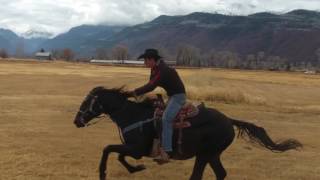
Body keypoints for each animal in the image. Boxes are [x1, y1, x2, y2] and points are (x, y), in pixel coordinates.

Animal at [73, 86, 302, 179]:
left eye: (86, 102)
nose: (76, 121)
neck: (132, 114)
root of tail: (229, 120)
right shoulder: (135, 149)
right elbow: (119, 155)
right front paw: (137, 168)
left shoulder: (136, 148)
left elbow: (108, 149)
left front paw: (102, 173)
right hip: (212, 155)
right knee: (220, 173)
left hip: (205, 154)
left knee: (197, 176)